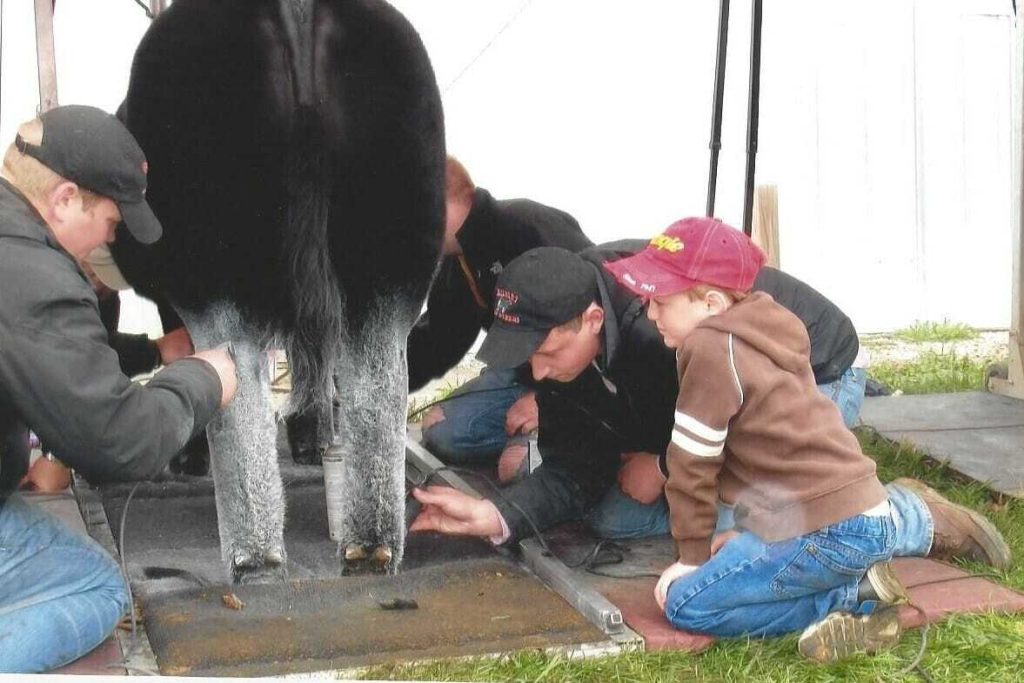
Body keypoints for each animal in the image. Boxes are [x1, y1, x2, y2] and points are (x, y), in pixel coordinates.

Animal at [114, 0, 446, 581]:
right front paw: (310, 439)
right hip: (392, 258)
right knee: (376, 387)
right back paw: (369, 548)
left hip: (212, 265)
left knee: (236, 389)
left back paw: (254, 559)